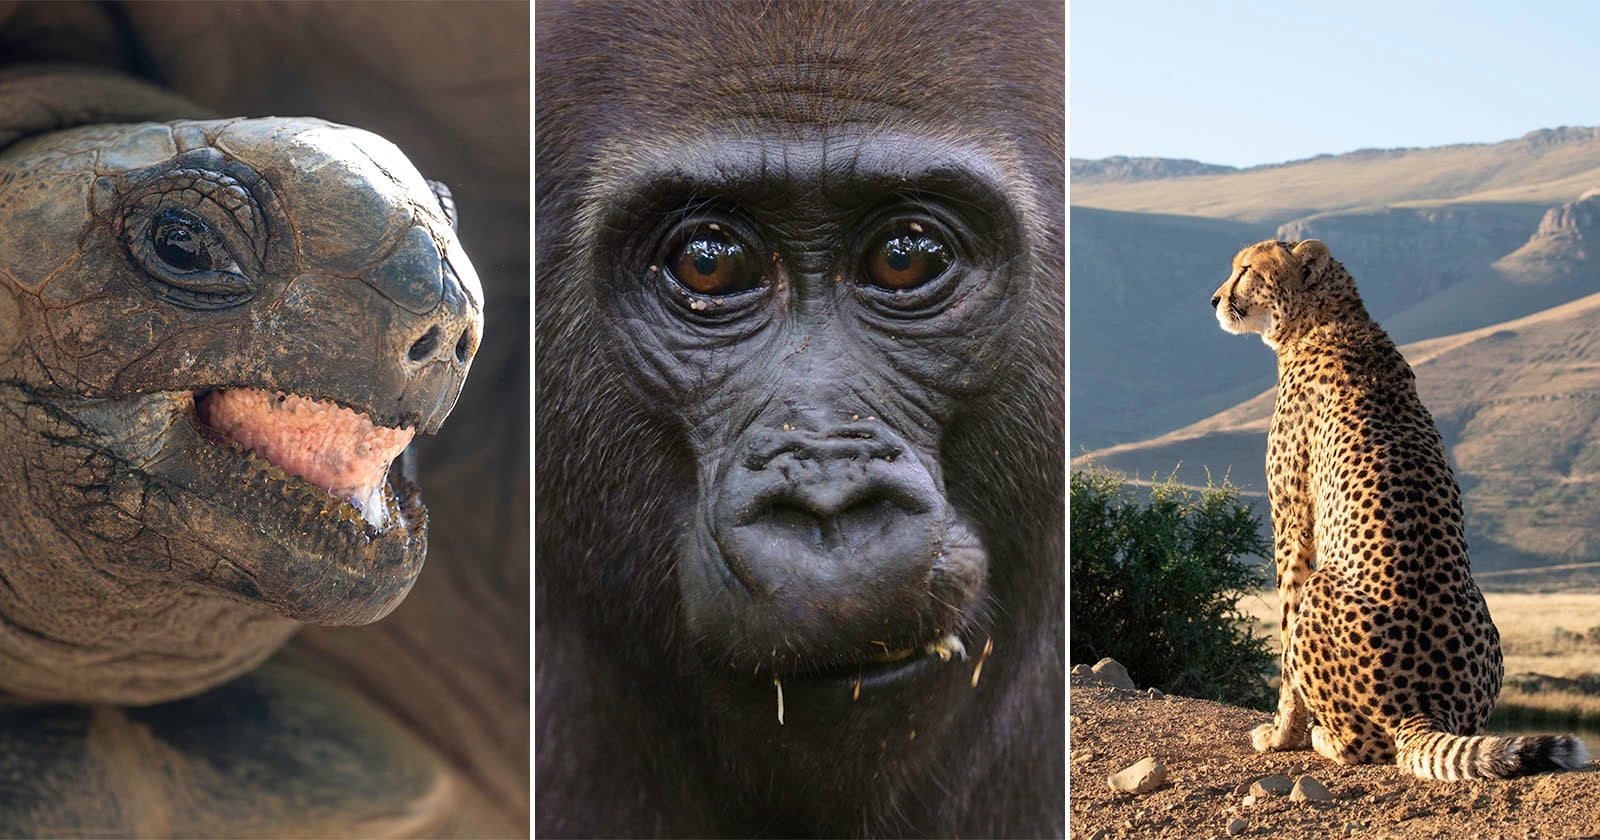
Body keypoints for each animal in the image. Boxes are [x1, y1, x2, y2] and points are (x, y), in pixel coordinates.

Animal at [1211, 238, 1589, 780]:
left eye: (1245, 269)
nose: (1214, 300)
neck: (1325, 319)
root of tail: (1423, 708)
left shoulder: (1292, 521)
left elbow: (1283, 635)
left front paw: (1280, 734)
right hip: (1483, 617)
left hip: (1324, 587)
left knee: (1364, 745)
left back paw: (1324, 738)